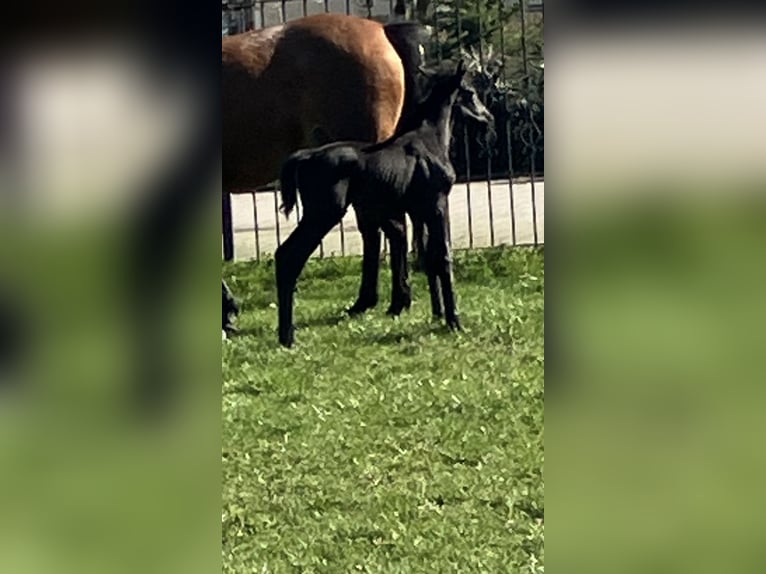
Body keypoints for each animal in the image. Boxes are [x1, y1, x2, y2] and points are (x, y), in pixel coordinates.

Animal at [275, 61, 487, 348]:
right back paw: (288, 336)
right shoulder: (437, 204)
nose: (486, 116)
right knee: (289, 256)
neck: (428, 140)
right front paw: (454, 321)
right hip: (323, 215)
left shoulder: (417, 211)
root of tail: (305, 156)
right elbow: (443, 256)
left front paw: (437, 314)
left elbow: (427, 257)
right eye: (470, 92)